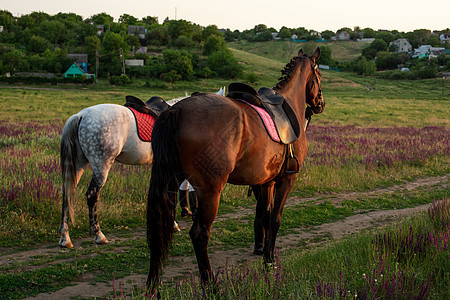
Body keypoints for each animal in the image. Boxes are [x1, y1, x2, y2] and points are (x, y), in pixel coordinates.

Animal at [146, 47, 326, 288]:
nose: (320, 103)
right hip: (210, 190)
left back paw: (153, 285)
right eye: (319, 75)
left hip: (170, 182)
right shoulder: (287, 179)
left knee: (158, 232)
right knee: (199, 234)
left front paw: (266, 258)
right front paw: (270, 261)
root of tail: (177, 110)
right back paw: (210, 285)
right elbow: (275, 219)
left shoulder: (266, 182)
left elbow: (265, 216)